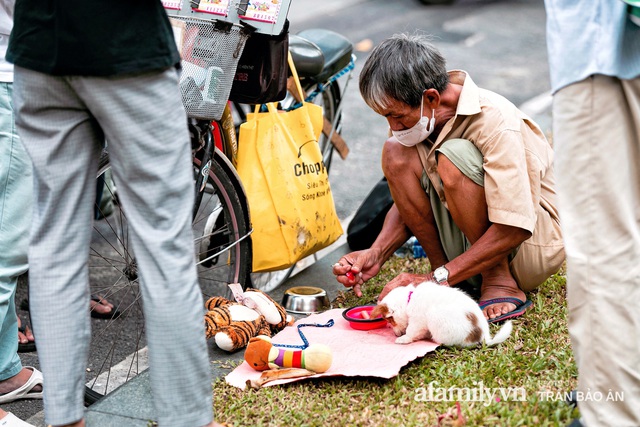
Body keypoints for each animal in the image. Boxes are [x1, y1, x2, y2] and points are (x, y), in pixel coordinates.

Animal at [370, 280, 516, 348]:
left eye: (389, 320)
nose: (395, 334)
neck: (409, 299)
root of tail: (483, 336)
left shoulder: (418, 321)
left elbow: (411, 331)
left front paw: (403, 338)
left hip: (435, 317)